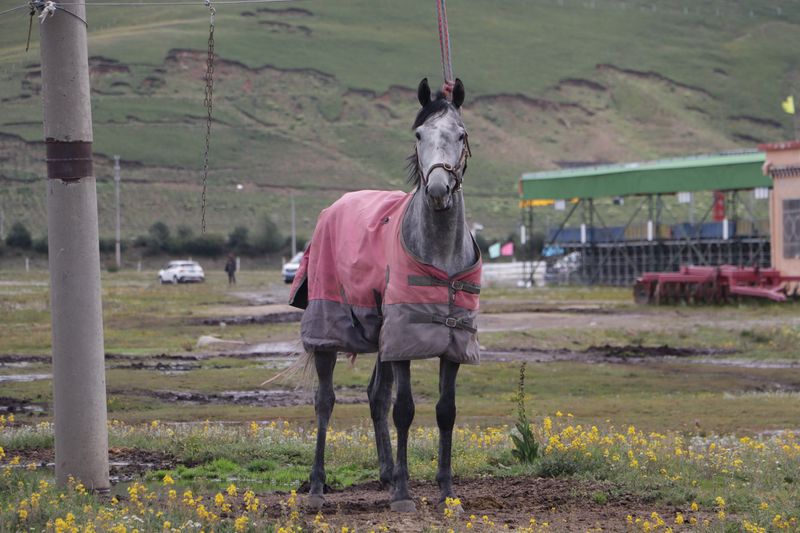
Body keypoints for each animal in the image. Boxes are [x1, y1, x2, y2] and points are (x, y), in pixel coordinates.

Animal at [292, 78, 484, 512]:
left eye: (460, 134)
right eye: (419, 134)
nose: (438, 190)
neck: (440, 253)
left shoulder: (451, 340)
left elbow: (445, 411)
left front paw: (446, 491)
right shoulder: (403, 338)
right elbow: (405, 409)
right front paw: (403, 493)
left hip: (380, 334)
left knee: (375, 395)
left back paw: (384, 472)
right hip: (330, 329)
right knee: (325, 400)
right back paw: (317, 486)